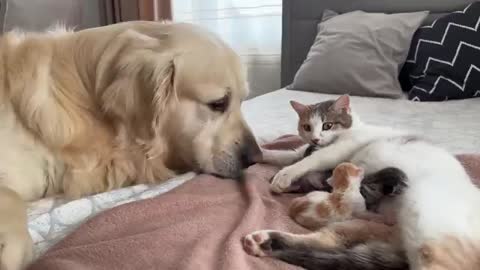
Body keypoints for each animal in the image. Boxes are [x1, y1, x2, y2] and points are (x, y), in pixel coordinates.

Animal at [251, 95, 480, 270]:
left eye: (327, 125)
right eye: (307, 127)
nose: (315, 139)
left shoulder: (338, 149)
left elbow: (310, 159)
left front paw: (284, 176)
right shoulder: (302, 150)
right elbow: (285, 154)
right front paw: (259, 154)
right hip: (365, 226)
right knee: (330, 241)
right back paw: (263, 242)